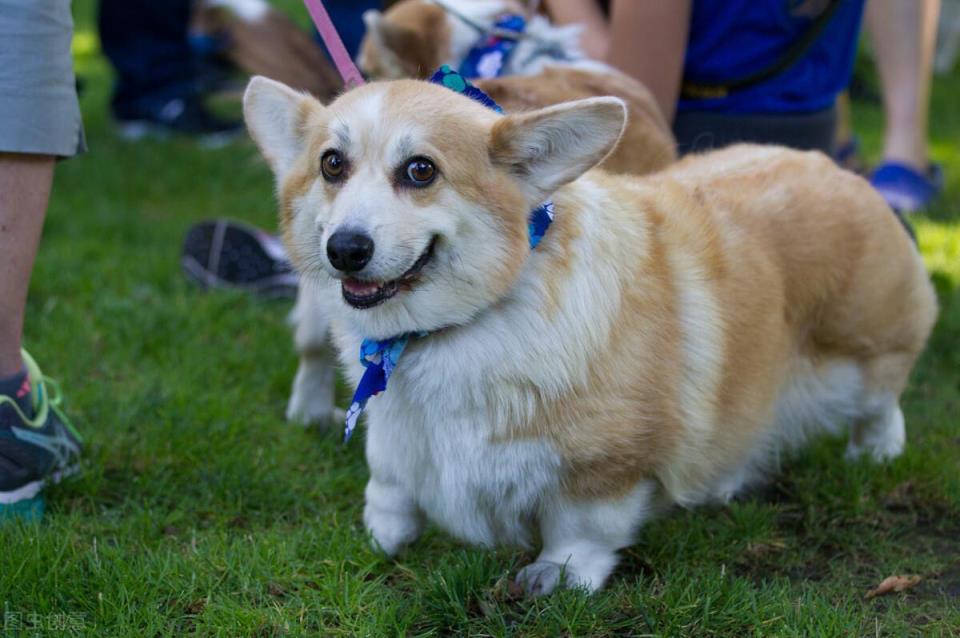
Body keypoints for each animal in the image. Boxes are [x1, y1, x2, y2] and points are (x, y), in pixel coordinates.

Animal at [242, 77, 936, 596]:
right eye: (332, 163)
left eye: (420, 171)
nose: (345, 250)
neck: (462, 325)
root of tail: (841, 171)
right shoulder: (392, 429)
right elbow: (387, 483)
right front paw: (383, 535)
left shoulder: (608, 468)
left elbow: (582, 528)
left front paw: (557, 574)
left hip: (863, 359)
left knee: (884, 399)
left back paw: (876, 451)